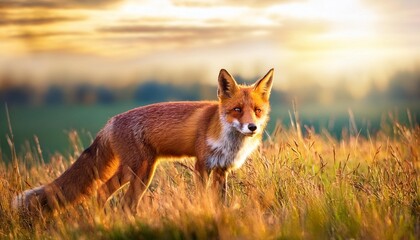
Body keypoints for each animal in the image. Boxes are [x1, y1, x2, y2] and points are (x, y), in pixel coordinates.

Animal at [12, 68, 272, 214]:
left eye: (257, 111)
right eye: (237, 110)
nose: (252, 127)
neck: (227, 139)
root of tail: (110, 122)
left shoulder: (222, 170)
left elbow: (221, 202)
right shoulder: (202, 165)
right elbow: (202, 197)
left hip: (130, 171)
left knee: (103, 192)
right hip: (141, 172)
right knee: (125, 203)